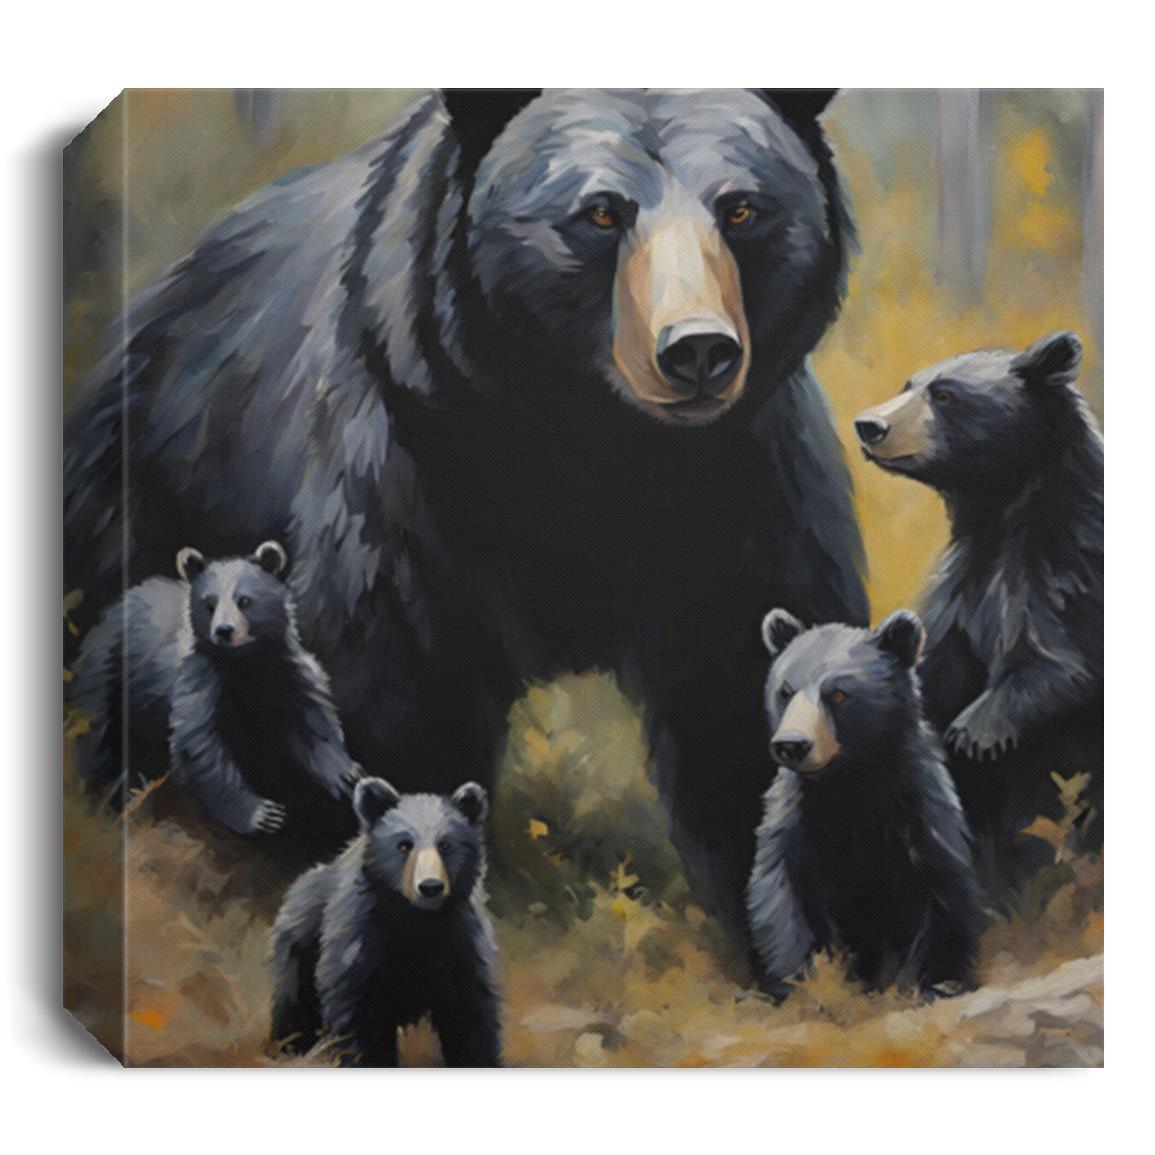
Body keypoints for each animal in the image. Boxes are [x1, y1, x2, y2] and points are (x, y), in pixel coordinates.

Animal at [68, 540, 361, 859]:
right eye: (209, 603)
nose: (224, 631)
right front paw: (262, 814)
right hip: (109, 674)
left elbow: (313, 722)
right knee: (99, 744)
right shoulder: (200, 677)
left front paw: (346, 774)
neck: (245, 663)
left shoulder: (286, 671)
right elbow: (199, 744)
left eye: (244, 600)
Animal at [269, 777, 500, 1067]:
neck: (416, 920)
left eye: (445, 845)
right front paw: (367, 1058)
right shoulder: (361, 937)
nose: (430, 887)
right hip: (300, 946)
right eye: (403, 845)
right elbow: (358, 1014)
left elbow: (469, 1011)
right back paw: (292, 1046)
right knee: (294, 1001)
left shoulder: (459, 939)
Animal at [747, 609, 983, 1001]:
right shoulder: (798, 824)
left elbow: (942, 899)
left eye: (838, 693)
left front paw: (932, 984)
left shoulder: (917, 816)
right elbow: (784, 901)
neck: (849, 783)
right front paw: (805, 987)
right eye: (785, 691)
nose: (792, 745)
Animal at [854, 331, 1103, 900]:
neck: (1001, 514)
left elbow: (1057, 665)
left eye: (945, 395)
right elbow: (938, 665)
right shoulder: (963, 589)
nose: (869, 424)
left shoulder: (1059, 572)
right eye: (908, 385)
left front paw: (974, 734)